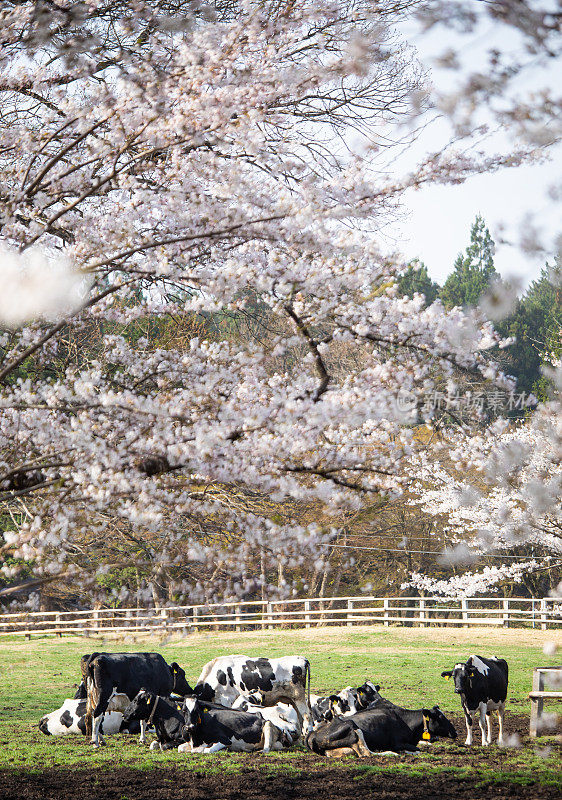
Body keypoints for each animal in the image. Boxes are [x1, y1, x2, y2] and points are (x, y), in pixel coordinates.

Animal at [306, 708, 456, 756]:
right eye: (440, 717)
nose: (455, 732)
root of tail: (312, 735)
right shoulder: (397, 743)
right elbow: (417, 749)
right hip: (352, 728)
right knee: (366, 753)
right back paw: (391, 753)